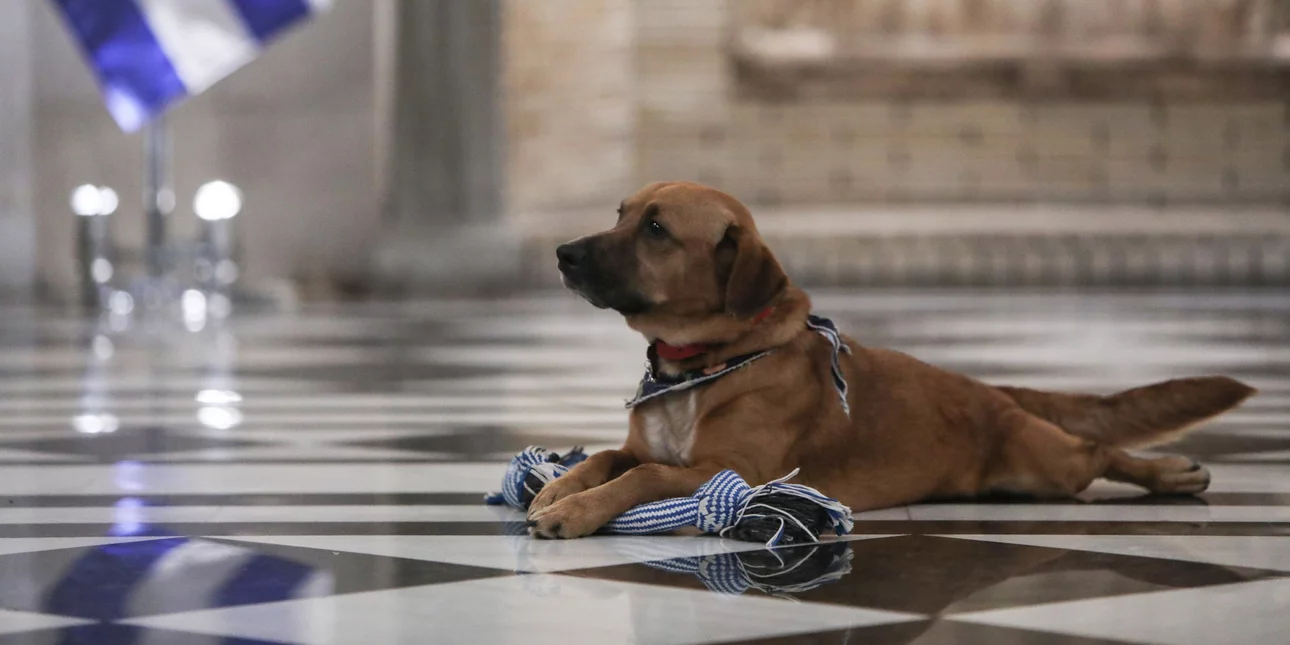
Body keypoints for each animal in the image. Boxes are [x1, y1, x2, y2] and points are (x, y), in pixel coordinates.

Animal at [526, 180, 1259, 539]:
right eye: (620, 213)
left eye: (656, 229)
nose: (562, 253)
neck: (701, 365)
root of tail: (990, 389)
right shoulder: (643, 445)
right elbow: (608, 456)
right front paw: (562, 487)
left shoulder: (735, 473)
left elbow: (643, 477)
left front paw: (574, 511)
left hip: (1047, 467)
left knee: (1098, 451)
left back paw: (1169, 473)